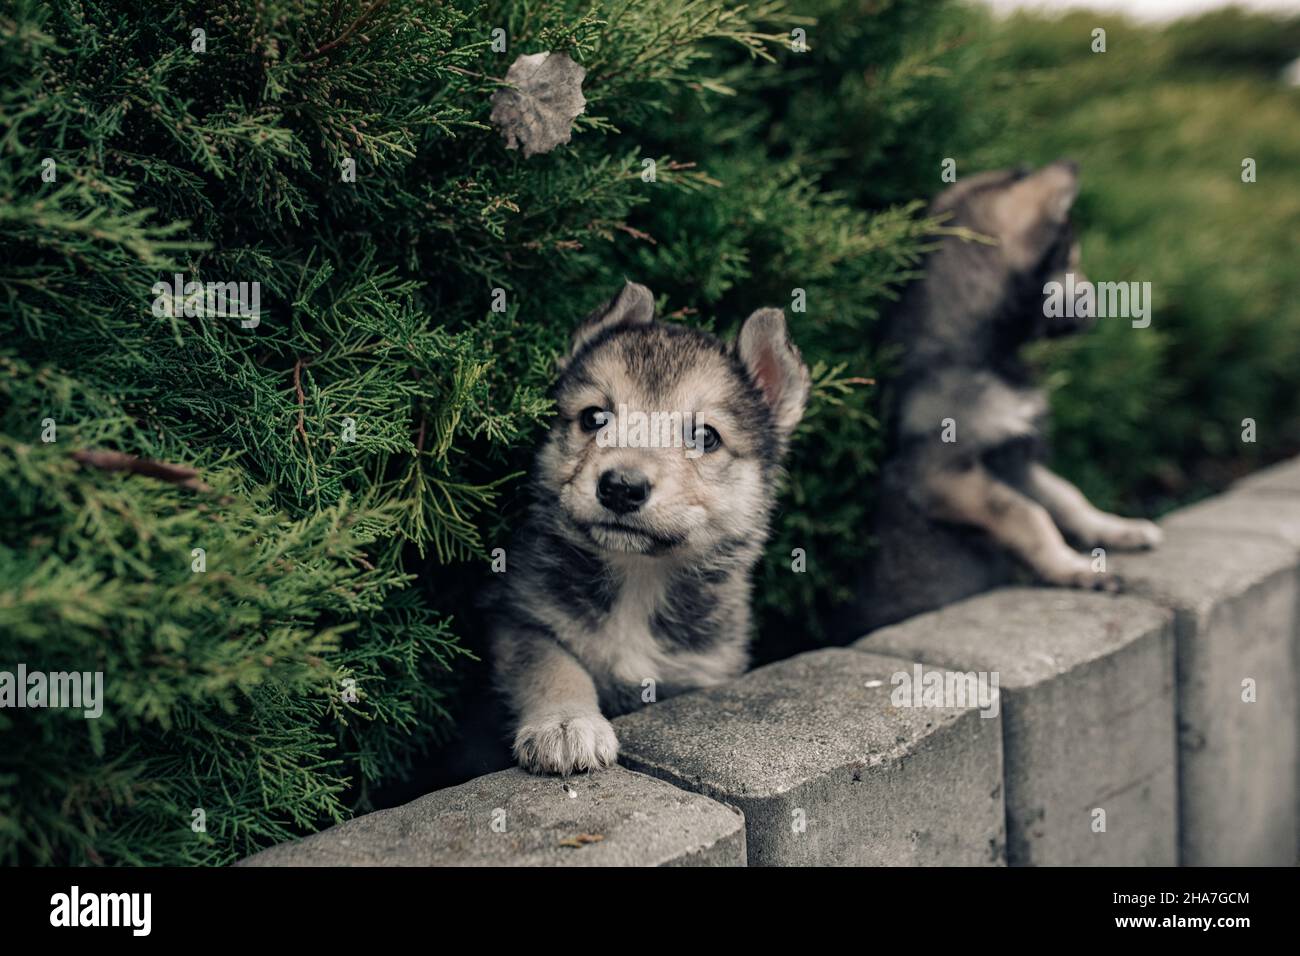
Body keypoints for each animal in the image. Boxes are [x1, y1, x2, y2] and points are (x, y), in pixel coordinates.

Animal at [488, 283, 811, 780]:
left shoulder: (697, 671)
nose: (621, 487)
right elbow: (552, 665)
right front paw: (565, 724)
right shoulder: (523, 620)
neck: (638, 575)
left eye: (706, 436)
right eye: (594, 417)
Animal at [847, 160, 1164, 632]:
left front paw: (1115, 528)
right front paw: (1072, 567)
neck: (984, 353)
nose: (1102, 308)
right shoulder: (945, 474)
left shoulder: (1014, 457)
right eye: (1071, 259)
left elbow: (1066, 496)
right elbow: (1028, 514)